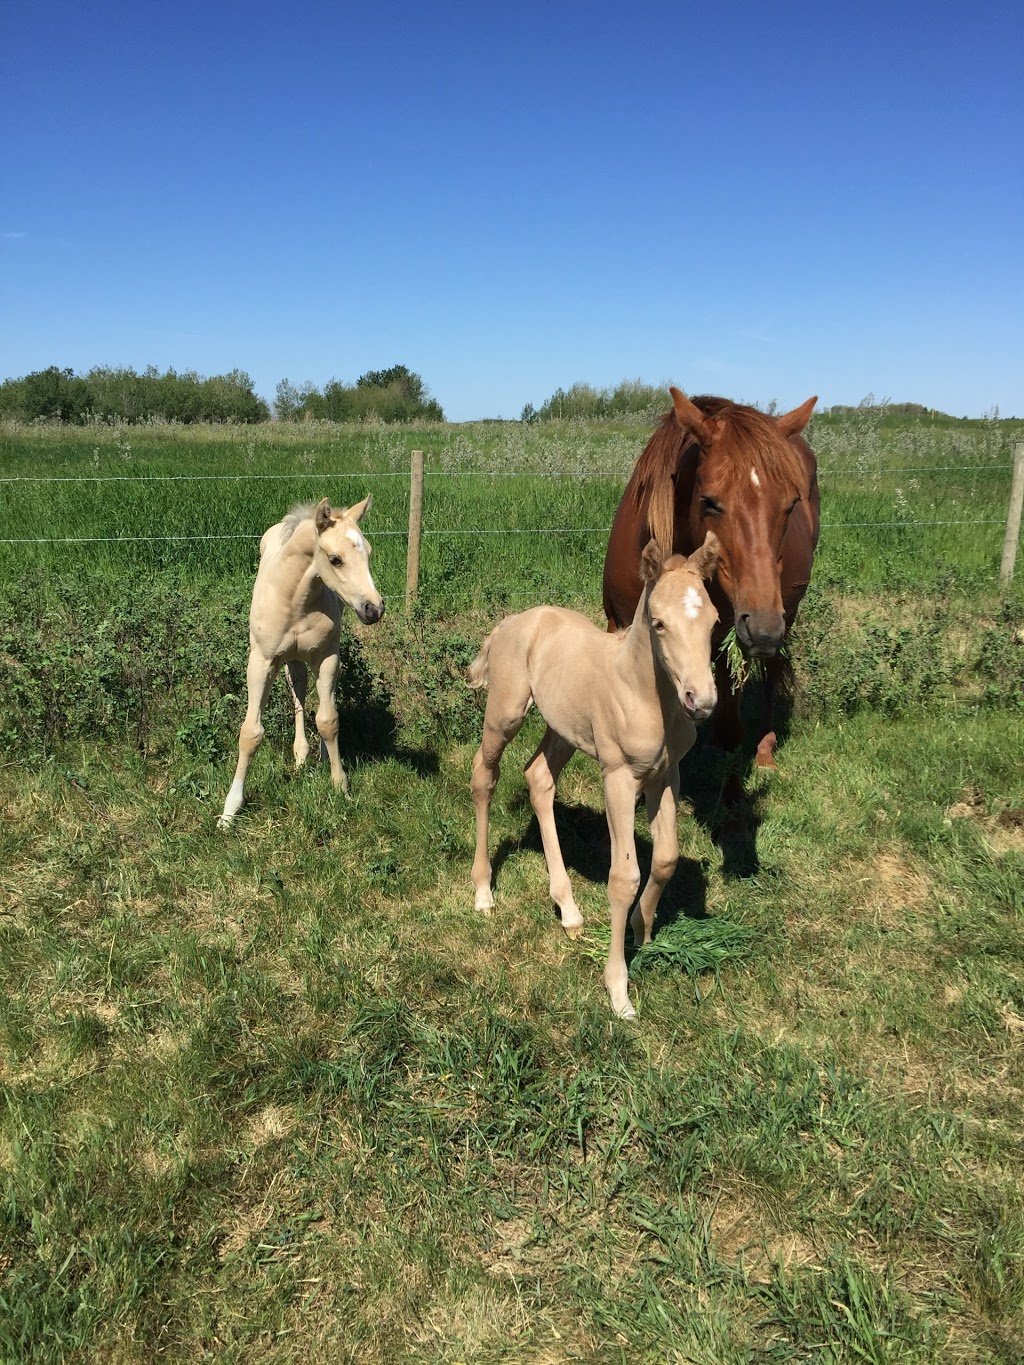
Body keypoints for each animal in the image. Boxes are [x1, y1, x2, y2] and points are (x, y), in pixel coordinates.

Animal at [221, 496, 385, 824]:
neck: (295, 600)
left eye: (369, 553)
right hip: (289, 660)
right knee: (297, 691)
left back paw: (317, 755)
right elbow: (250, 733)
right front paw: (230, 810)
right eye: (335, 559)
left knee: (318, 700)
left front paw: (340, 786)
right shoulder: (260, 661)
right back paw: (299, 756)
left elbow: (328, 720)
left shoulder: (327, 657)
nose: (374, 609)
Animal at [466, 532, 715, 1015]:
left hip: (564, 728)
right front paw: (618, 990)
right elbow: (624, 878)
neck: (643, 691)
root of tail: (513, 621)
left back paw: (569, 910)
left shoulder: (666, 775)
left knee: (538, 778)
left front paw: (643, 929)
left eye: (714, 622)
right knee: (484, 777)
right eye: (659, 624)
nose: (702, 699)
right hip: (505, 713)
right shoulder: (618, 777)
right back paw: (483, 892)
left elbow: (666, 858)